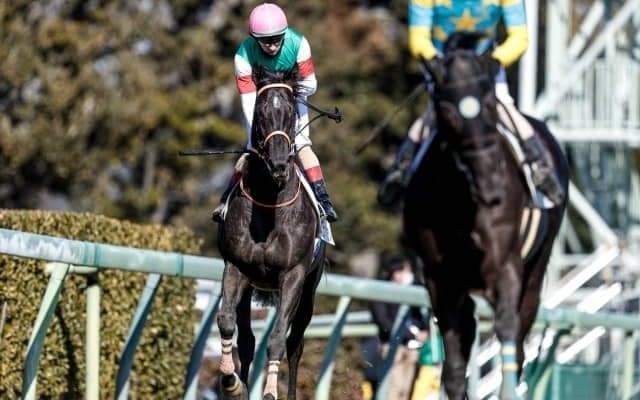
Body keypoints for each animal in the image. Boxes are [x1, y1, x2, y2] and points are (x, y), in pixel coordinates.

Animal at [216, 66, 325, 400]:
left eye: (289, 113)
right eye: (261, 112)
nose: (278, 164)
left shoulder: (293, 276)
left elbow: (277, 340)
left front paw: (270, 392)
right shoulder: (236, 267)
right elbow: (227, 323)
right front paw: (231, 381)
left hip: (309, 292)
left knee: (294, 345)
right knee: (248, 340)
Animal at [403, 36, 569, 400]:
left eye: (491, 104)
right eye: (448, 111)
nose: (492, 183)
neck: (462, 202)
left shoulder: (506, 266)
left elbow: (507, 330)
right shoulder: (441, 281)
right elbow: (452, 363)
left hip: (536, 271)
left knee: (518, 339)